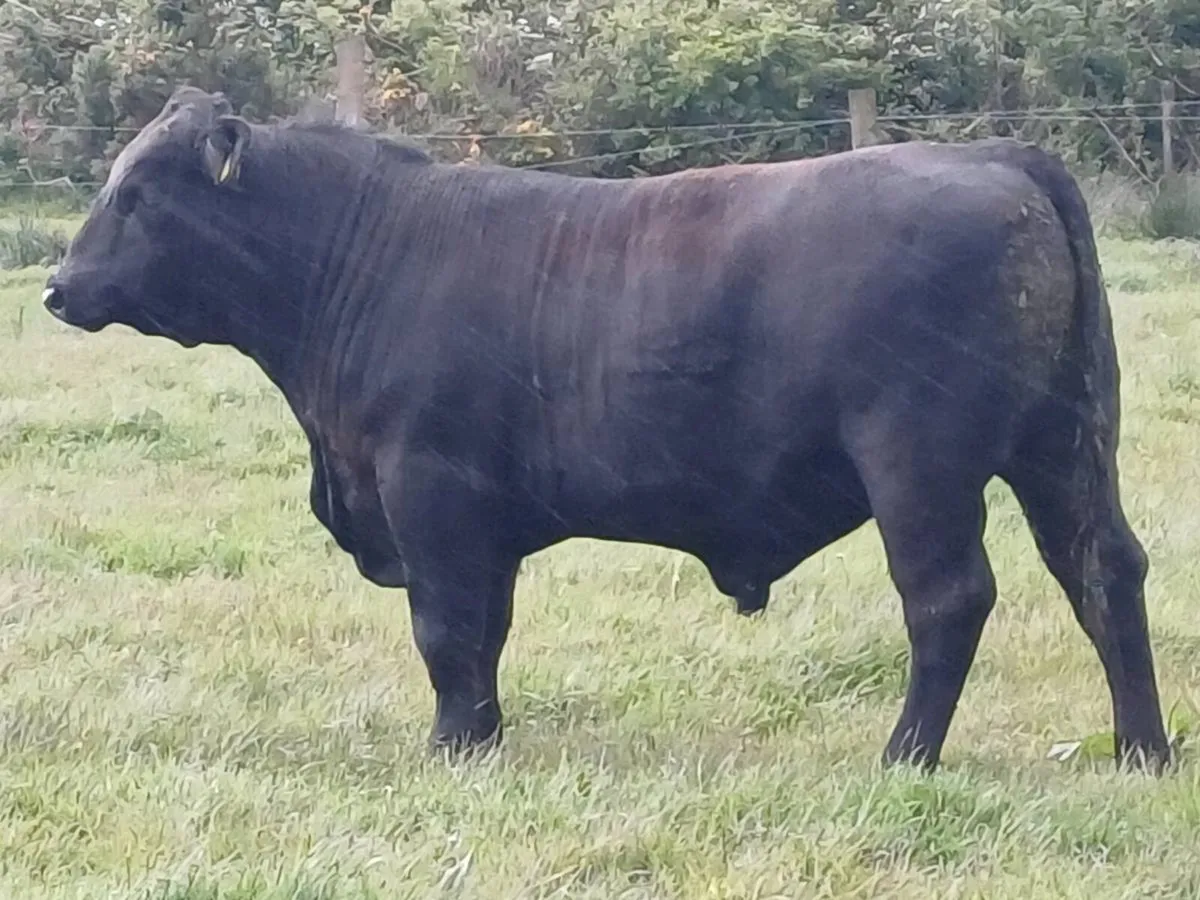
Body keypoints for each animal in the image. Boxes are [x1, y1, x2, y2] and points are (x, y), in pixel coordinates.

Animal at [43, 86, 1171, 773]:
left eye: (137, 195)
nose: (57, 285)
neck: (363, 256)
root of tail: (996, 156)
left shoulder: (429, 491)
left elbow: (445, 630)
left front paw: (450, 751)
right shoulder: (478, 523)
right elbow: (484, 633)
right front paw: (483, 741)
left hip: (918, 464)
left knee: (948, 599)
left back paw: (905, 756)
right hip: (1064, 448)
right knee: (1104, 571)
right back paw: (1143, 751)